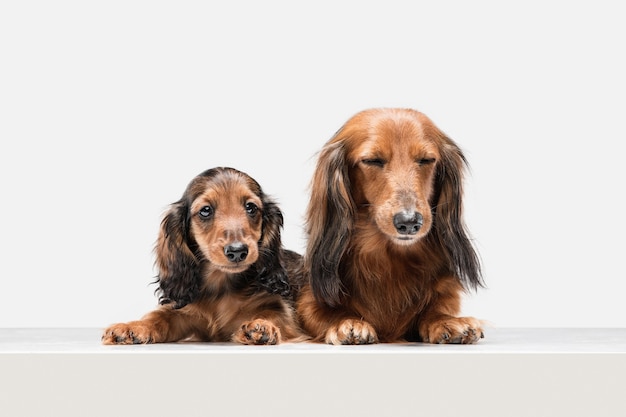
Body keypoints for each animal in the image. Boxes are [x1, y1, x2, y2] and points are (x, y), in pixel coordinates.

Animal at [102, 166, 304, 344]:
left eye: (251, 207)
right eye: (206, 210)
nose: (237, 251)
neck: (220, 286)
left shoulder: (277, 307)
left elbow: (272, 315)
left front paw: (262, 326)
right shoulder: (183, 312)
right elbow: (157, 316)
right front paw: (131, 327)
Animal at [294, 107, 486, 344]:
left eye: (426, 160)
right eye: (372, 160)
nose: (409, 222)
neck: (390, 258)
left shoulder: (445, 292)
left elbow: (437, 308)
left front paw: (446, 321)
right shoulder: (309, 300)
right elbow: (324, 312)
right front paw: (346, 322)